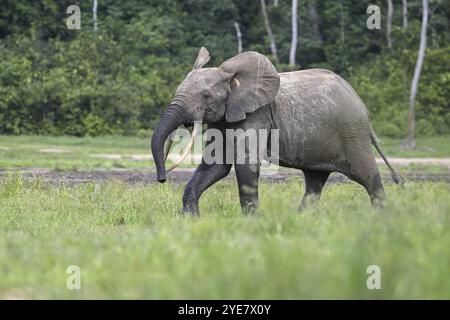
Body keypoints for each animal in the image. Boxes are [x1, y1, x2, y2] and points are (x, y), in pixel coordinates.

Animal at [151, 48, 400, 215]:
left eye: (205, 96)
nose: (161, 179)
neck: (232, 78)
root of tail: (363, 108)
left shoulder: (258, 113)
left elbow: (246, 163)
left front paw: (251, 222)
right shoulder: (225, 117)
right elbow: (216, 166)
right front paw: (191, 220)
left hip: (352, 132)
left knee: (367, 175)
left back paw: (382, 218)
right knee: (314, 182)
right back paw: (303, 218)